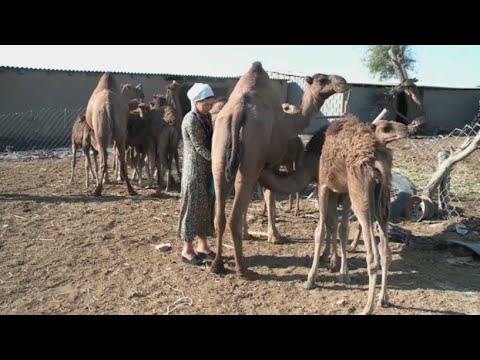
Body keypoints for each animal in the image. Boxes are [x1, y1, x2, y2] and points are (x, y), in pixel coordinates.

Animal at [209, 62, 344, 278]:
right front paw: (276, 236)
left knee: (220, 213)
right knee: (233, 216)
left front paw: (255, 233)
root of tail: (238, 111)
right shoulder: (271, 162)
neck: (289, 122)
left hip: (220, 152)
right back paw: (243, 270)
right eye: (322, 79)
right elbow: (269, 196)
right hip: (251, 156)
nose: (342, 81)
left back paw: (217, 265)